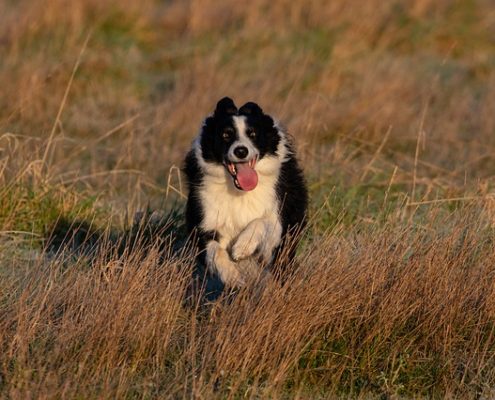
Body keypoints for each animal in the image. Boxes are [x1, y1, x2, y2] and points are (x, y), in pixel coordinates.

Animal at [183, 96, 306, 288]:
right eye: (226, 135)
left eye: (252, 134)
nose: (241, 151)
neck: (239, 191)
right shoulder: (202, 224)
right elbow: (215, 250)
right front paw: (232, 275)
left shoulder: (277, 223)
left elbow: (261, 221)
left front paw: (242, 246)